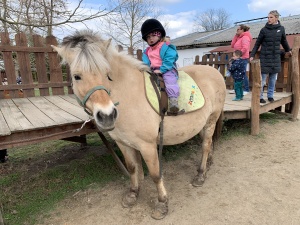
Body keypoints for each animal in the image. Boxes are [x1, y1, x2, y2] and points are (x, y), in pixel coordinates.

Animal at [52, 29, 225, 220]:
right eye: (77, 76)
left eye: (107, 74)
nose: (107, 115)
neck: (129, 95)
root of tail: (215, 71)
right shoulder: (123, 143)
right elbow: (133, 168)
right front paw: (132, 194)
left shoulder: (147, 146)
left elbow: (155, 174)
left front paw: (162, 204)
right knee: (208, 144)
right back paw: (208, 164)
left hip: (211, 120)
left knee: (205, 145)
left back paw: (200, 175)